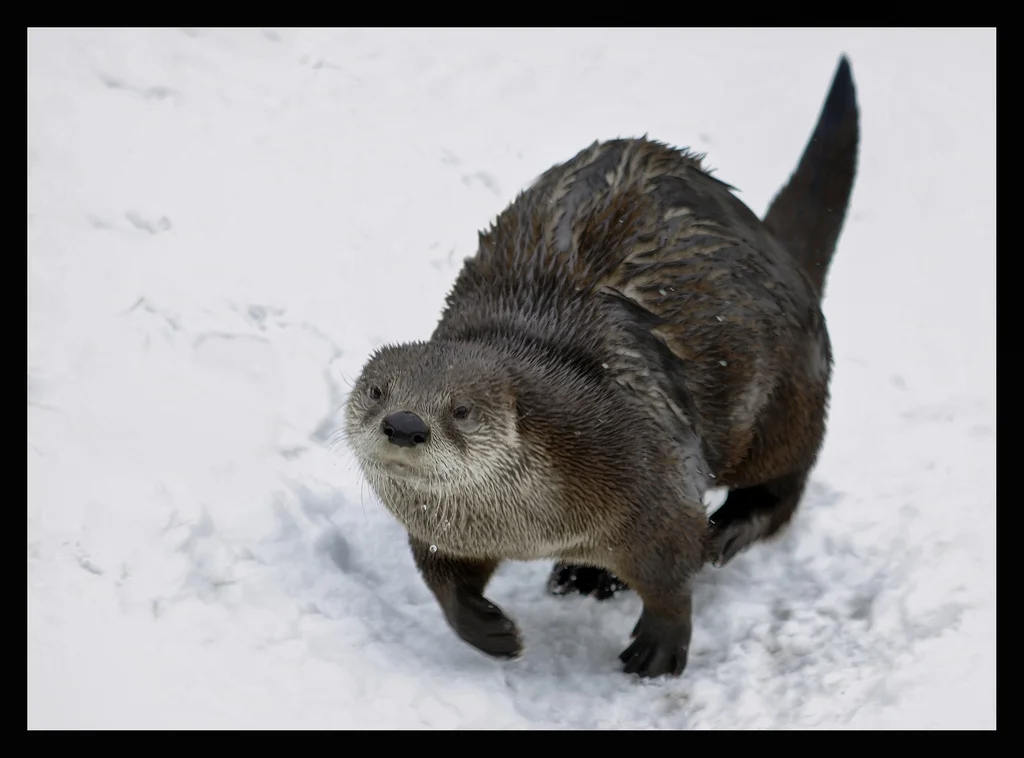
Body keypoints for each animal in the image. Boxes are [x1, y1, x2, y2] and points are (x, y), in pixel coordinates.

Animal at [344, 55, 859, 678]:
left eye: (461, 409)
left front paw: (659, 649)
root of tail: (774, 247)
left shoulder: (653, 479)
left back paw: (729, 531)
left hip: (789, 391)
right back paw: (585, 575)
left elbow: (673, 575)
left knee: (785, 484)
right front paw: (489, 629)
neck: (531, 527)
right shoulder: (442, 532)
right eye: (377, 391)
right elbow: (440, 576)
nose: (405, 424)